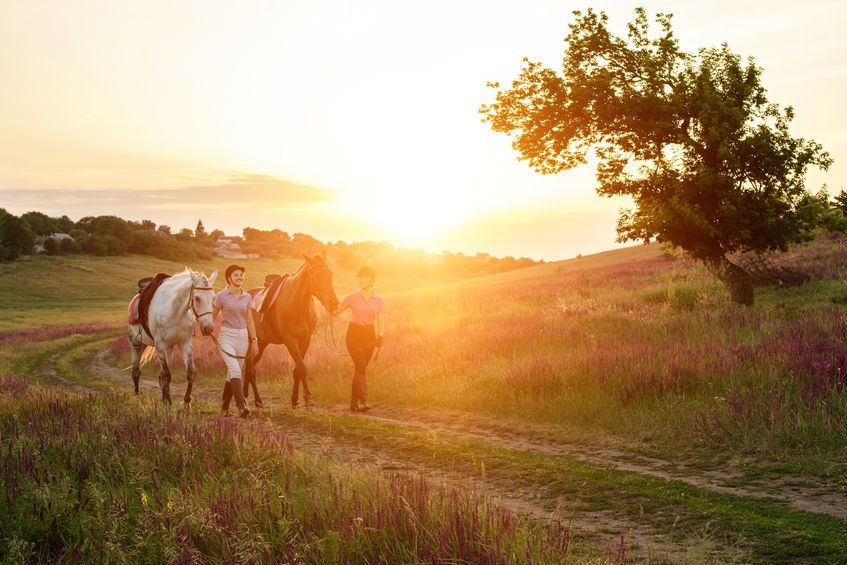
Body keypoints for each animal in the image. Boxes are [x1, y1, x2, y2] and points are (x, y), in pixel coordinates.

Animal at [127, 268, 219, 406]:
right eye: (197, 298)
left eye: (213, 298)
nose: (208, 328)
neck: (175, 310)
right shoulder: (160, 345)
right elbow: (166, 375)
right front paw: (168, 403)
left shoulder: (185, 344)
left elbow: (190, 373)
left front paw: (186, 403)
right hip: (136, 344)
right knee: (136, 371)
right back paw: (137, 396)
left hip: (169, 348)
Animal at [238, 253, 338, 408]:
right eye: (316, 275)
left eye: (331, 274)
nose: (333, 303)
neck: (297, 304)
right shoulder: (291, 341)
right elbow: (302, 368)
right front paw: (308, 397)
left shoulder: (305, 340)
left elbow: (297, 369)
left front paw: (295, 399)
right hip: (250, 343)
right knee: (250, 369)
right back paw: (256, 400)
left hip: (261, 344)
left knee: (250, 368)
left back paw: (246, 397)